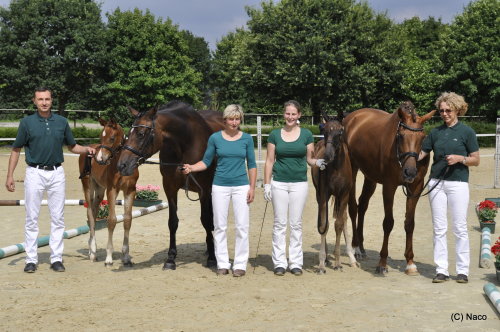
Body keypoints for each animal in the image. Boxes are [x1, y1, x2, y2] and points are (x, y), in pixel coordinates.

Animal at [79, 118, 140, 266]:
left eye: (112, 138)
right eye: (101, 137)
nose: (100, 158)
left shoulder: (130, 190)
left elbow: (127, 220)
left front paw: (126, 257)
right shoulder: (112, 190)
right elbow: (111, 220)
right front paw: (109, 258)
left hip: (100, 190)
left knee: (94, 212)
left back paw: (91, 250)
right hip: (87, 186)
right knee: (90, 213)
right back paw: (93, 253)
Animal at [116, 100, 224, 270]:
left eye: (141, 134)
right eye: (128, 133)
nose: (122, 165)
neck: (186, 143)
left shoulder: (204, 190)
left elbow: (206, 220)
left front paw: (213, 258)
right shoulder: (170, 187)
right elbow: (173, 222)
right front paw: (170, 259)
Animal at [310, 113, 358, 274]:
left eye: (340, 132)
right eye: (324, 131)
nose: (327, 156)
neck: (337, 168)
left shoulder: (343, 195)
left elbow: (339, 224)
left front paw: (337, 262)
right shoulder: (324, 194)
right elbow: (324, 224)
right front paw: (321, 263)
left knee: (344, 219)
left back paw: (352, 259)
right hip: (319, 195)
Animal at [342, 102, 436, 274]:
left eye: (422, 137)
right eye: (401, 136)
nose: (410, 172)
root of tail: (350, 118)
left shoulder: (415, 188)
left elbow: (409, 223)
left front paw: (410, 262)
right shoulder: (389, 186)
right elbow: (388, 223)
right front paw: (382, 263)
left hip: (370, 177)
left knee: (362, 205)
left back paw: (362, 248)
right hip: (352, 170)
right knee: (353, 208)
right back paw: (356, 248)